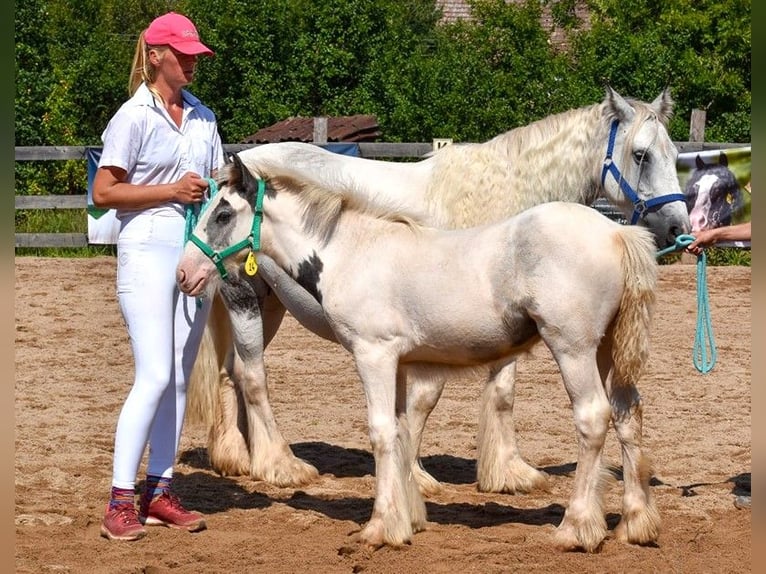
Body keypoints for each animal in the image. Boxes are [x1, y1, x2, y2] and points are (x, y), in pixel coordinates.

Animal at [177, 156, 664, 552]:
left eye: (223, 213)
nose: (184, 273)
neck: (351, 250)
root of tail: (618, 231)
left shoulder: (372, 354)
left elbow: (379, 432)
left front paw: (379, 528)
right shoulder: (395, 363)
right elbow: (399, 430)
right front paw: (406, 519)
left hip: (573, 348)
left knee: (593, 418)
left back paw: (576, 529)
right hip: (605, 350)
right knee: (628, 414)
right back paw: (635, 524)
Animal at [188, 88, 688, 498]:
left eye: (674, 153)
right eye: (641, 155)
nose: (678, 228)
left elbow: (494, 393)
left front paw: (505, 472)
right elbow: (429, 400)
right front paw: (425, 476)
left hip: (271, 305)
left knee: (231, 370)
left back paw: (237, 456)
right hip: (247, 297)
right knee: (252, 374)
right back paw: (279, 464)